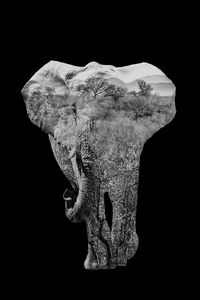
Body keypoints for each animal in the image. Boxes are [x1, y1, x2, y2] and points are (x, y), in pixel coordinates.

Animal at [21, 61, 176, 270]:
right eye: (74, 112)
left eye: (109, 116)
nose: (67, 194)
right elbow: (92, 199)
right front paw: (98, 265)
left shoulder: (132, 143)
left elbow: (125, 190)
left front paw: (120, 258)